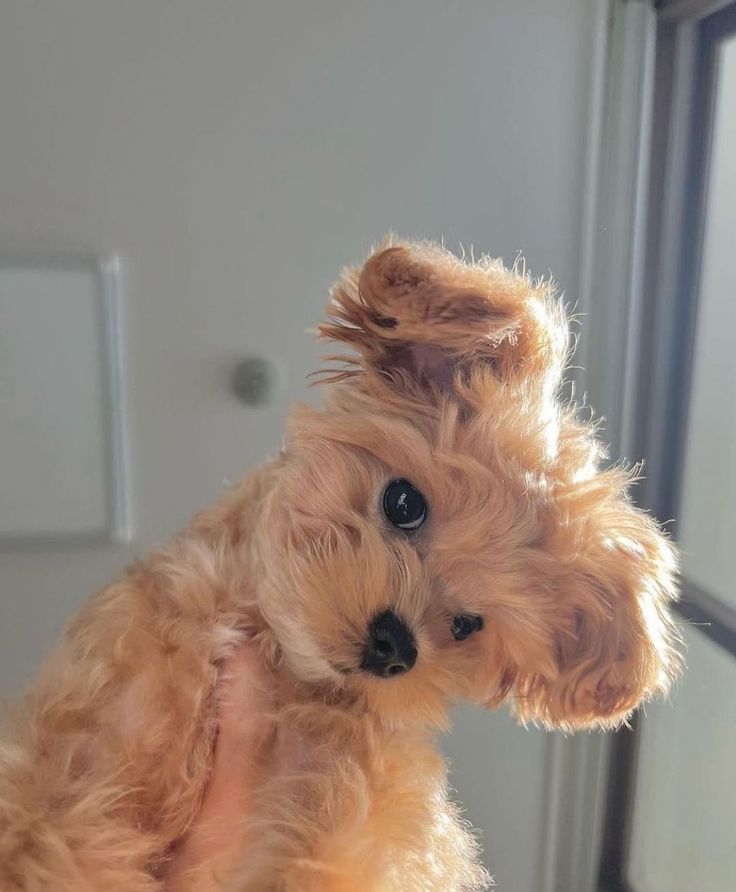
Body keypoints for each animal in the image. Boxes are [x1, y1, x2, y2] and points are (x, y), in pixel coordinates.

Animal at [0, 240, 680, 888]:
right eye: (403, 502)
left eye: (469, 626)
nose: (395, 647)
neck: (272, 653)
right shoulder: (88, 749)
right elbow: (46, 837)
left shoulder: (360, 813)